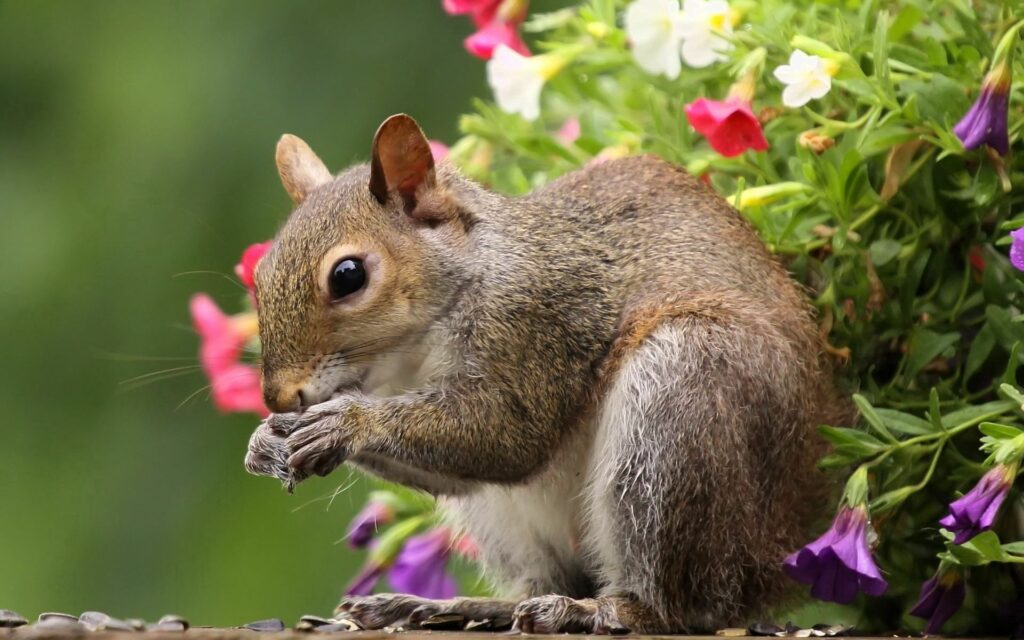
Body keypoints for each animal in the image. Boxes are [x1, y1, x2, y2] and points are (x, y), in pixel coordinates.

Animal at [244, 114, 849, 634]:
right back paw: (453, 607)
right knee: (547, 579)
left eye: (348, 275)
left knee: (684, 606)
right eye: (260, 272)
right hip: (511, 522)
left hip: (680, 406)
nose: (278, 396)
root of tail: (775, 549)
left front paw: (344, 424)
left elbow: (509, 437)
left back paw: (599, 610)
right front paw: (265, 441)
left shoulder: (539, 324)